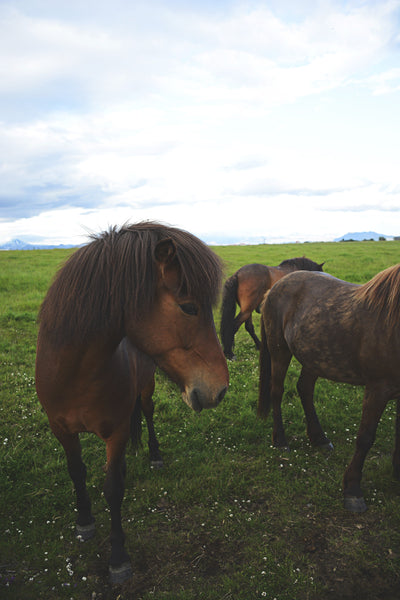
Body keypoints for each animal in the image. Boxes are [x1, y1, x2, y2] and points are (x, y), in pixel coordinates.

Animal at [36, 220, 230, 580]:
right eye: (189, 307)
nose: (220, 388)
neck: (76, 374)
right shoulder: (61, 429)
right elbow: (76, 472)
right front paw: (85, 523)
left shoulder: (117, 432)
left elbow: (113, 488)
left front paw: (118, 557)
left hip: (147, 389)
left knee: (149, 414)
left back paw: (154, 455)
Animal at [258, 266, 400, 510]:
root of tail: (274, 287)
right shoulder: (378, 388)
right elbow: (365, 438)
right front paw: (352, 489)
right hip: (279, 350)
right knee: (277, 392)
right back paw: (281, 440)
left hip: (315, 356)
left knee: (305, 389)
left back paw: (319, 438)